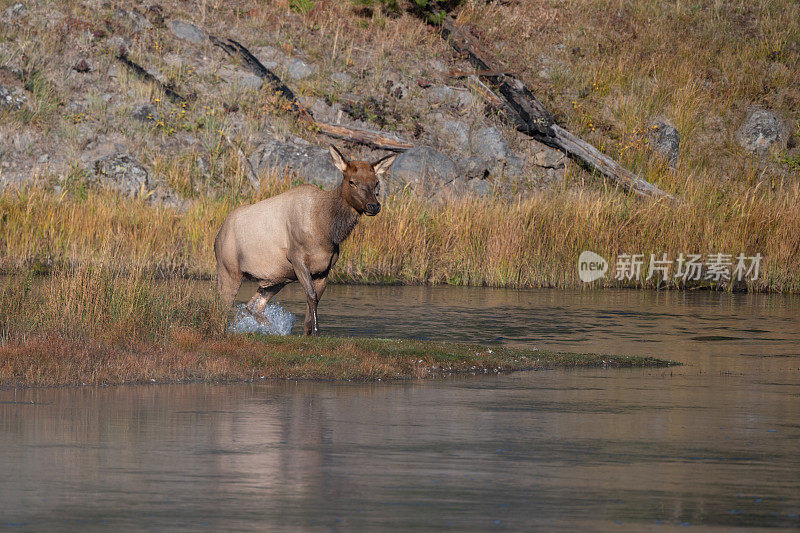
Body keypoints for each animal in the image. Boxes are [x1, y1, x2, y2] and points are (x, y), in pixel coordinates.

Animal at [216, 145, 396, 334]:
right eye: (352, 181)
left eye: (376, 182)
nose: (373, 206)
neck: (327, 231)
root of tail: (219, 231)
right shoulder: (297, 259)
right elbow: (311, 296)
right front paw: (316, 331)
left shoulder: (324, 270)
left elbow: (314, 302)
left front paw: (307, 333)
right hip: (228, 269)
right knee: (222, 304)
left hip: (276, 278)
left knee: (253, 305)